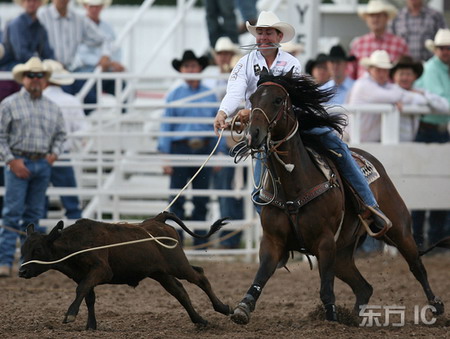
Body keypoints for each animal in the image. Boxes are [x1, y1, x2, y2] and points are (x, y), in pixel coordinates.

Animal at [19, 214, 230, 330]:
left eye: (37, 250)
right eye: (23, 249)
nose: (22, 271)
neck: (76, 244)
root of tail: (158, 219)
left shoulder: (102, 270)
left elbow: (81, 290)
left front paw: (70, 315)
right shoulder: (83, 275)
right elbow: (88, 296)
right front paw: (91, 325)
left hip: (178, 265)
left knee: (200, 277)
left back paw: (223, 307)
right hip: (160, 273)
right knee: (180, 291)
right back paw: (199, 320)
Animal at [230, 71, 444, 324]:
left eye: (278, 100)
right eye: (252, 99)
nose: (253, 134)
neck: (294, 185)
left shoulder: (325, 241)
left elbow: (326, 287)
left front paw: (331, 316)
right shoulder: (273, 241)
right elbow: (262, 274)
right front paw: (243, 307)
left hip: (398, 230)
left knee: (417, 266)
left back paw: (436, 306)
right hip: (342, 253)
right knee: (364, 287)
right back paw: (357, 319)